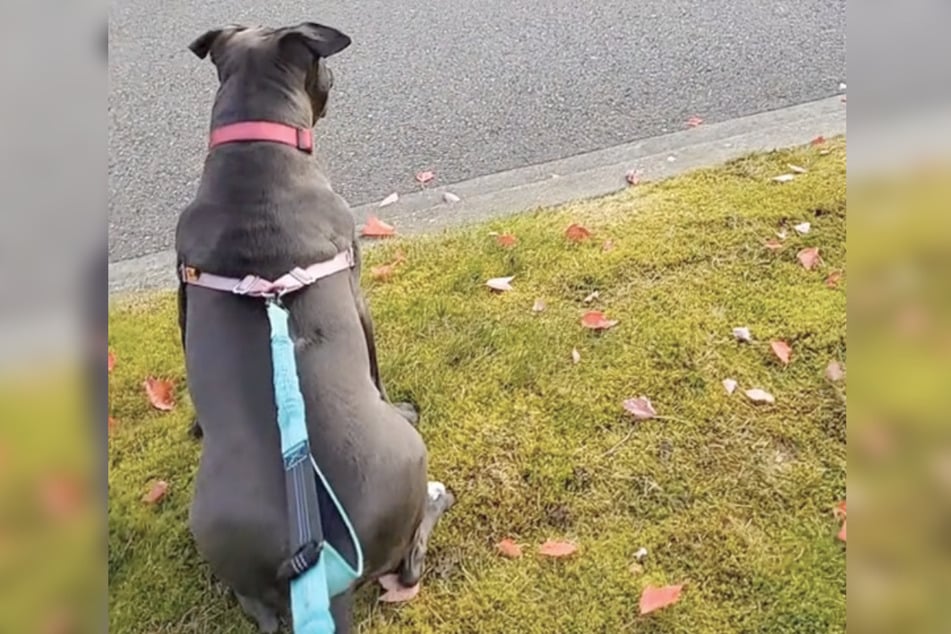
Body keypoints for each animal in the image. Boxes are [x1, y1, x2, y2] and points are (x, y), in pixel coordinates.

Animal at [176, 21, 458, 632]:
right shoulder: (355, 282)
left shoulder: (182, 289)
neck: (254, 148)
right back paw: (437, 498)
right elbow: (375, 364)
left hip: (223, 546)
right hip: (410, 459)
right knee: (410, 566)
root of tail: (327, 575)